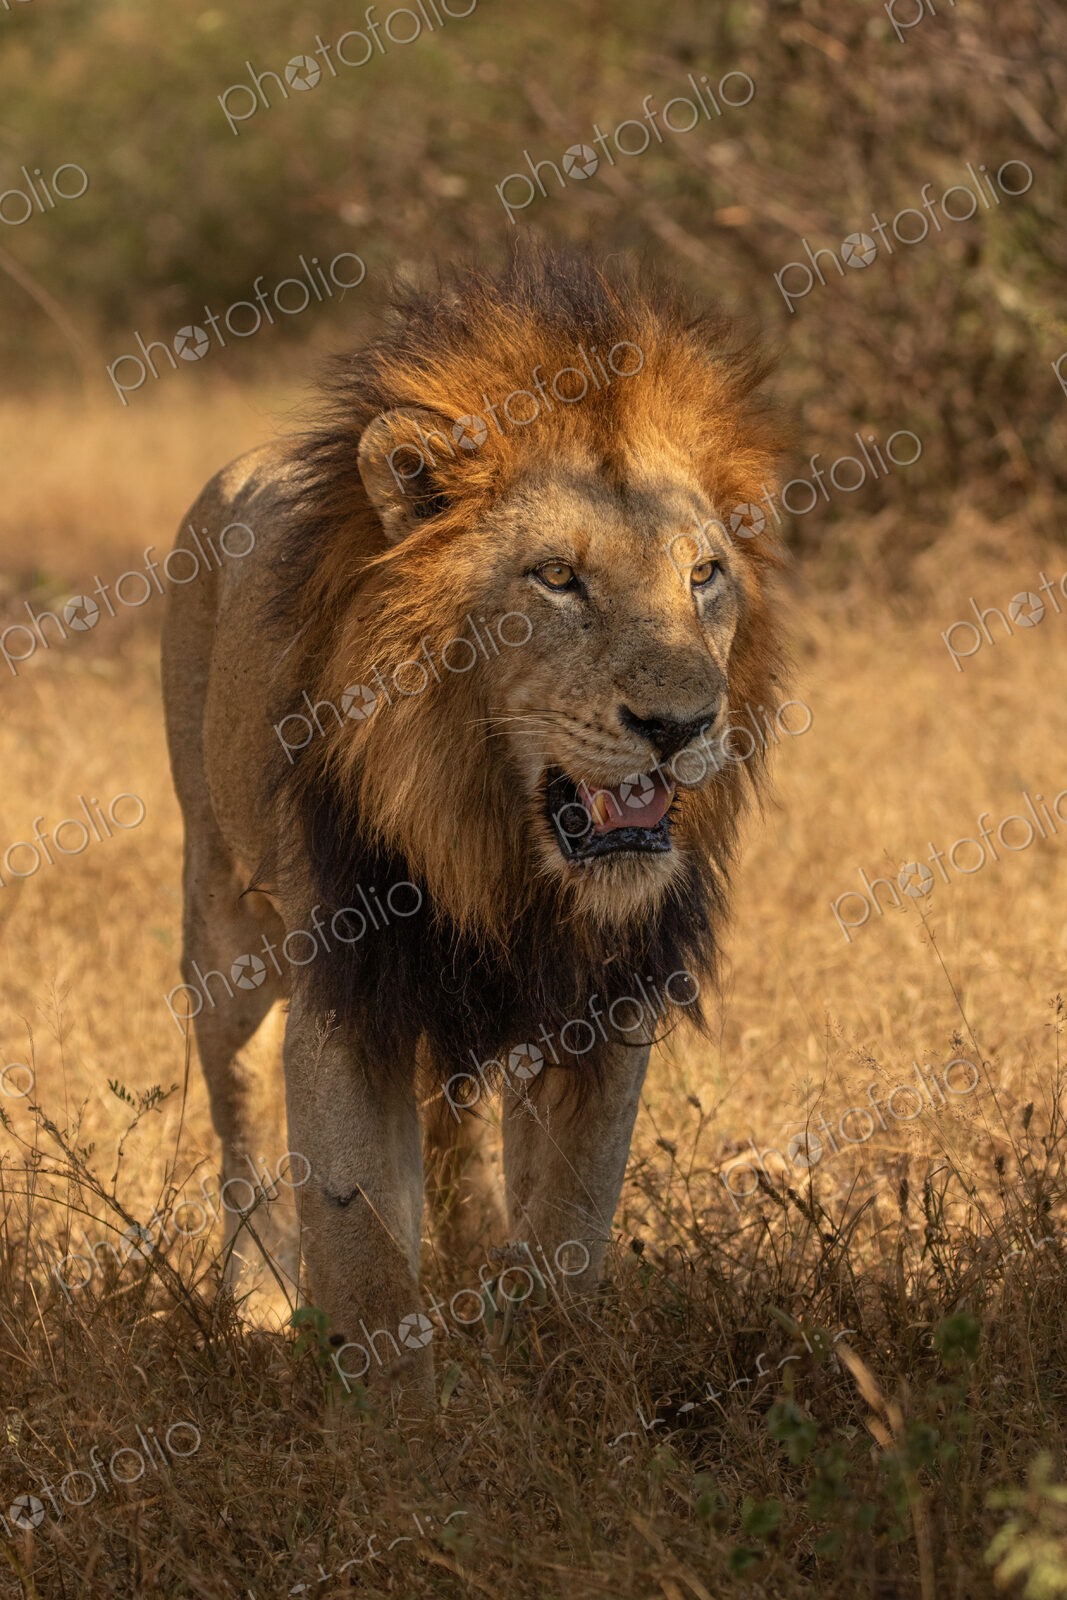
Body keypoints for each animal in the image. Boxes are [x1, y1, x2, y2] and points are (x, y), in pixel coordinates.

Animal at [161, 249, 787, 1403]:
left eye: (702, 575)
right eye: (556, 577)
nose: (680, 725)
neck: (490, 844)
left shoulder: (602, 993)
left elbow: (570, 1219)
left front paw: (555, 1373)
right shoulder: (349, 984)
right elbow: (359, 1241)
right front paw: (401, 1425)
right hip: (222, 918)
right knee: (241, 1122)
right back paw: (257, 1307)